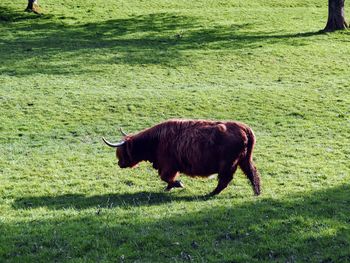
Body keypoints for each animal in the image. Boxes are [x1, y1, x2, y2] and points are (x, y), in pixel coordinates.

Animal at [102, 119, 262, 196]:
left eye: (121, 152)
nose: (119, 163)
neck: (155, 141)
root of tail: (244, 128)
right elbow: (166, 179)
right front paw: (169, 188)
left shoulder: (168, 165)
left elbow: (166, 177)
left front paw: (178, 184)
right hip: (244, 160)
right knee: (252, 173)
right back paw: (257, 192)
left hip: (228, 163)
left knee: (225, 179)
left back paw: (211, 193)